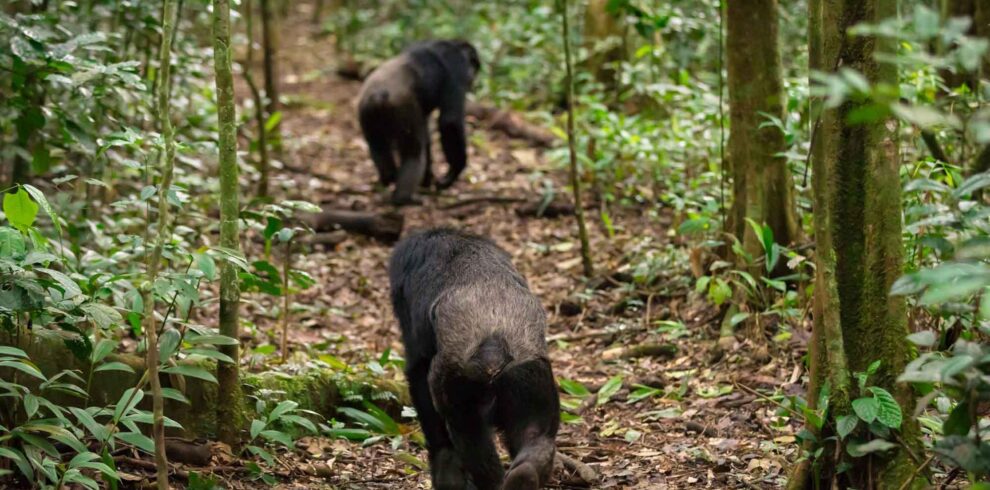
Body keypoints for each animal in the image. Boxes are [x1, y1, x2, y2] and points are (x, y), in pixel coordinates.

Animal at [357, 40, 480, 206]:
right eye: (473, 64)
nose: (473, 77)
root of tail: (378, 95)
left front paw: (428, 181)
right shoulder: (457, 68)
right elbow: (450, 121)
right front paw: (451, 175)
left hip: (366, 113)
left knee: (377, 145)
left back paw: (388, 178)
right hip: (402, 110)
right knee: (414, 152)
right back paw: (403, 198)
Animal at [388, 228, 560, 490]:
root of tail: (495, 343)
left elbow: (417, 374)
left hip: (459, 383)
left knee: (470, 437)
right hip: (530, 376)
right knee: (536, 433)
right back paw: (526, 474)